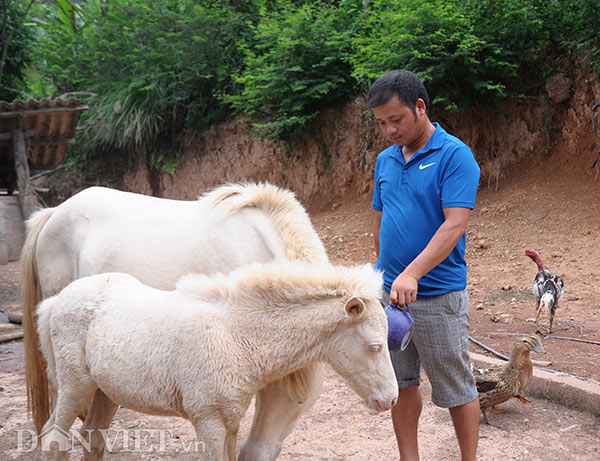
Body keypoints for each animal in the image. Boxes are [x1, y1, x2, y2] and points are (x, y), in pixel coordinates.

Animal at [35, 260, 396, 460]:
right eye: (375, 346)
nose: (390, 399)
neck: (234, 335)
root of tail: (56, 301)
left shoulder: (231, 421)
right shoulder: (207, 419)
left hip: (106, 393)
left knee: (91, 440)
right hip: (75, 386)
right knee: (51, 439)